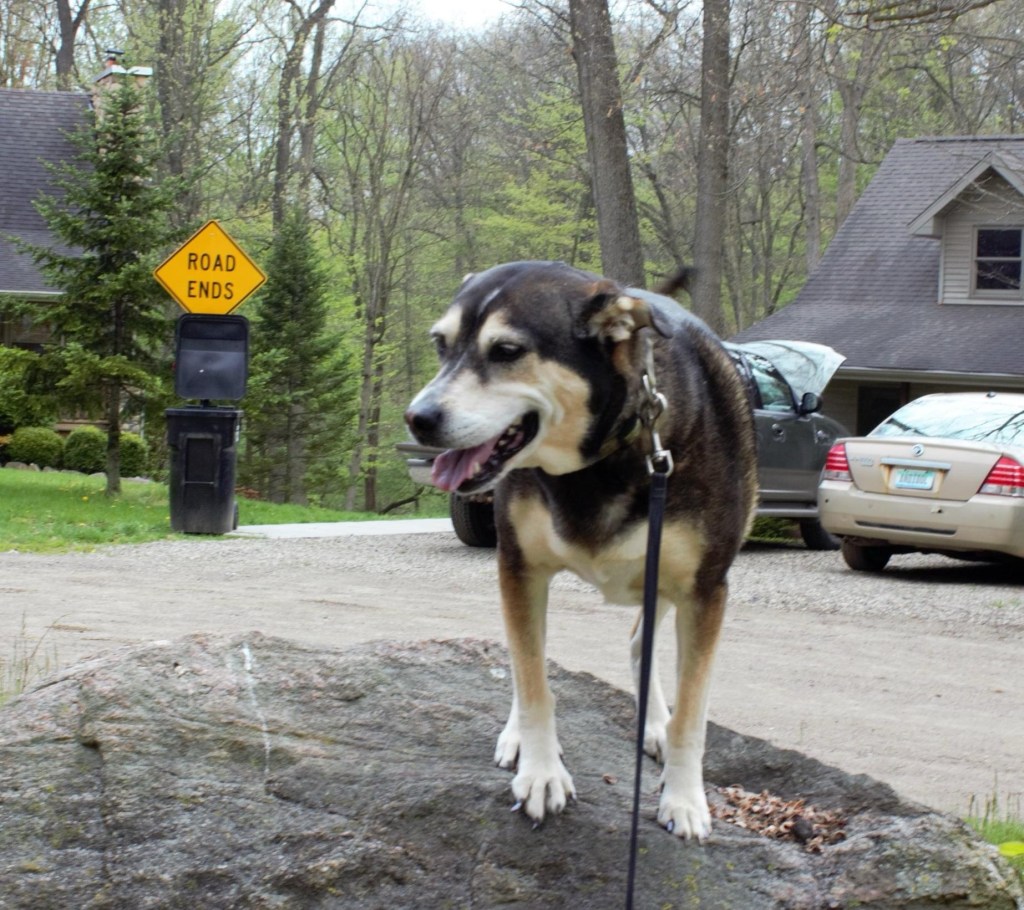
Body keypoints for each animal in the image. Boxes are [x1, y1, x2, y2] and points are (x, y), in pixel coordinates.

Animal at [405, 260, 757, 840]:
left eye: (506, 351)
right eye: (440, 344)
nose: (418, 418)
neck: (599, 460)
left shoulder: (705, 590)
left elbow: (692, 713)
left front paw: (684, 799)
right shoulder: (519, 567)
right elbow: (533, 681)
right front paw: (541, 772)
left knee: (641, 645)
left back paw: (655, 726)